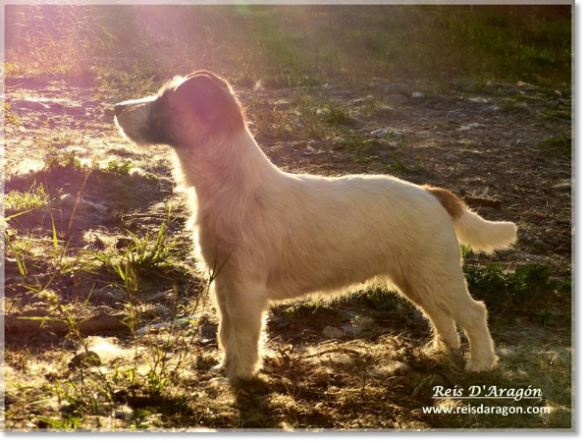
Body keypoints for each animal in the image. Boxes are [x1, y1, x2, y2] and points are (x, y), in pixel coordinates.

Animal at [114, 71, 516, 384]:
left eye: (165, 101)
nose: (116, 108)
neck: (233, 184)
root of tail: (434, 194)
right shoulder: (224, 285)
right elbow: (226, 334)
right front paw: (224, 369)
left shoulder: (244, 291)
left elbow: (242, 337)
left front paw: (239, 377)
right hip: (416, 279)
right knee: (442, 316)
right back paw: (441, 351)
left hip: (435, 275)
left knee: (474, 312)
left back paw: (481, 363)